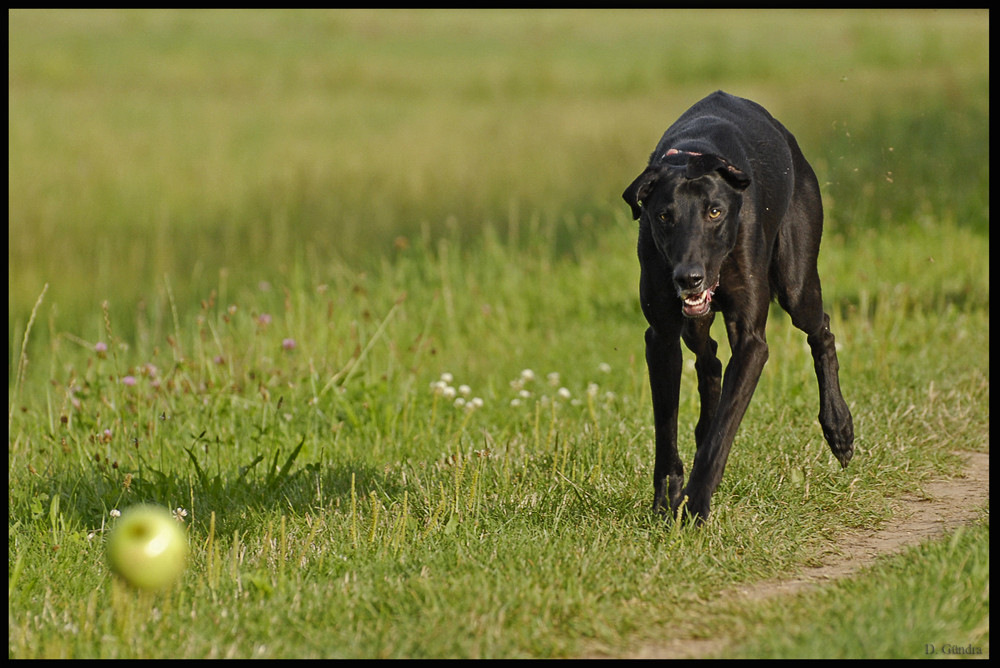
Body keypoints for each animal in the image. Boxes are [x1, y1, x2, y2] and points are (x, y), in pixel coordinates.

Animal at [624, 92, 852, 520]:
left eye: (715, 211)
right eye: (663, 216)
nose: (689, 278)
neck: (694, 158)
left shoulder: (751, 341)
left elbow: (722, 434)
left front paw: (696, 505)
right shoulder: (661, 338)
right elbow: (666, 429)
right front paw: (666, 500)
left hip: (797, 285)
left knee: (822, 330)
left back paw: (839, 426)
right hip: (694, 324)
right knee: (709, 357)